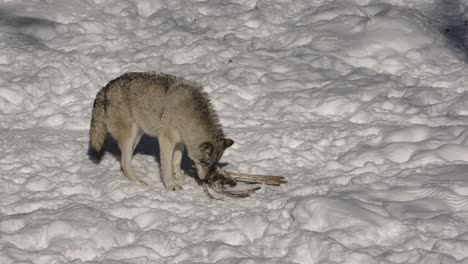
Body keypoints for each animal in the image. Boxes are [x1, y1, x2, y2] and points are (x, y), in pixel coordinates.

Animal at [88, 72, 234, 191]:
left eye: (214, 165)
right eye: (205, 164)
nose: (205, 180)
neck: (189, 114)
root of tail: (105, 87)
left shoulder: (180, 142)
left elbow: (176, 161)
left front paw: (178, 176)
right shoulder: (166, 141)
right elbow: (167, 167)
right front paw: (171, 185)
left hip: (137, 136)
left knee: (123, 160)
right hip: (131, 135)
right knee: (125, 163)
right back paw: (139, 183)